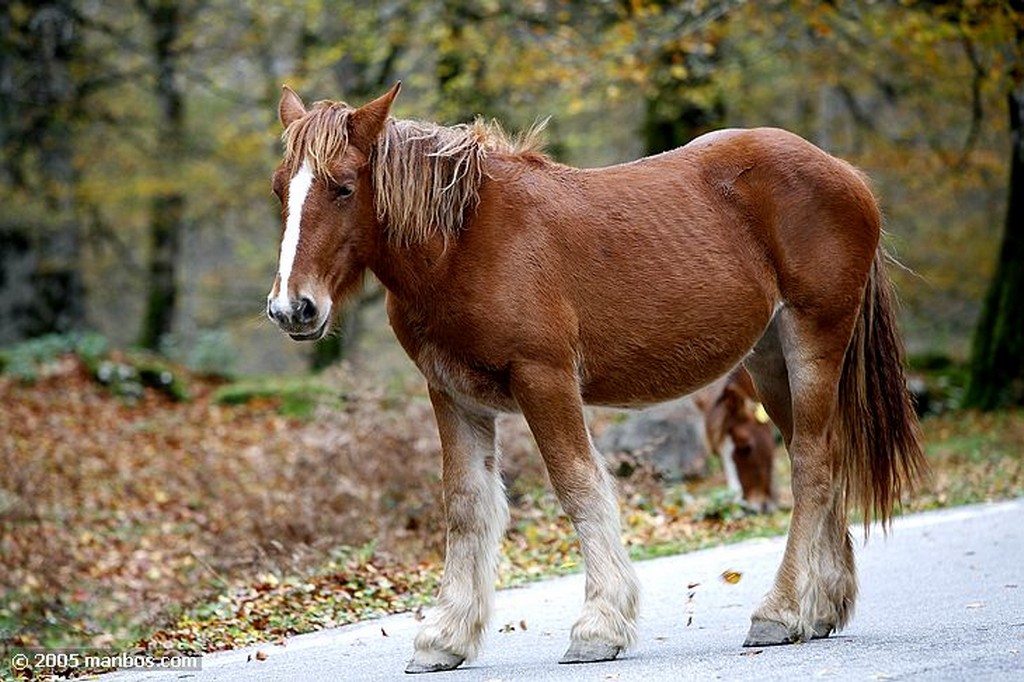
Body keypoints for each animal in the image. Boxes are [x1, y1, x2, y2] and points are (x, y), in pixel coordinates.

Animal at [266, 83, 929, 667]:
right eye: (281, 190)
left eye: (342, 187)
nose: (291, 309)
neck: (464, 244)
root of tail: (848, 175)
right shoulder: (452, 394)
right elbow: (467, 505)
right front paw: (445, 639)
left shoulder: (545, 379)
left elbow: (578, 487)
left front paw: (599, 627)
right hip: (769, 362)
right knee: (821, 456)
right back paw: (822, 609)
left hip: (812, 341)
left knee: (814, 464)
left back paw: (781, 611)